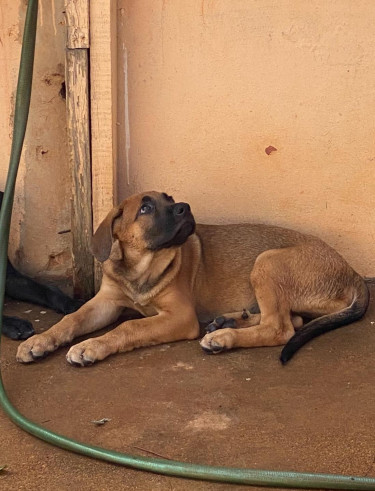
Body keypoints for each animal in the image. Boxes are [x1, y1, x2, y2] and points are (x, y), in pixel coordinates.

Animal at [16, 191, 368, 366]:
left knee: (280, 328)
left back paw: (223, 337)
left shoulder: (181, 316)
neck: (141, 267)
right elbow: (71, 319)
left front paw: (91, 346)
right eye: (145, 208)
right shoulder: (106, 302)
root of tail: (353, 273)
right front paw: (39, 341)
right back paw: (228, 321)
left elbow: (130, 327)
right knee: (291, 320)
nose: (185, 206)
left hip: (266, 261)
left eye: (171, 200)